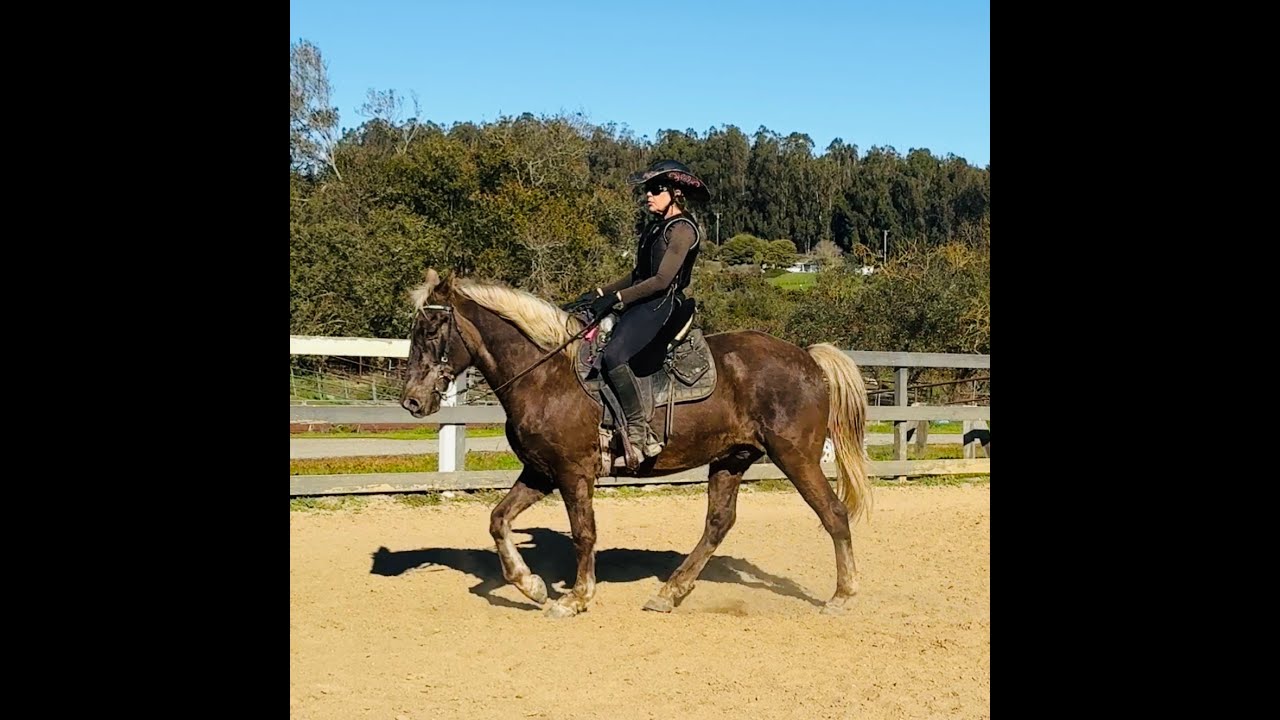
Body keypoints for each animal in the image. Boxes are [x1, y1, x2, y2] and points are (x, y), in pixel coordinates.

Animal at [399, 268, 873, 618]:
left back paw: (843, 594)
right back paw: (671, 592)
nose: (412, 401)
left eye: (433, 328)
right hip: (731, 458)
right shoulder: (540, 471)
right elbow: (498, 519)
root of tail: (809, 359)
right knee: (718, 524)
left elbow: (584, 533)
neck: (546, 374)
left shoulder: (573, 472)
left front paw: (576, 597)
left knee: (833, 514)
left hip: (796, 456)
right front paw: (531, 585)